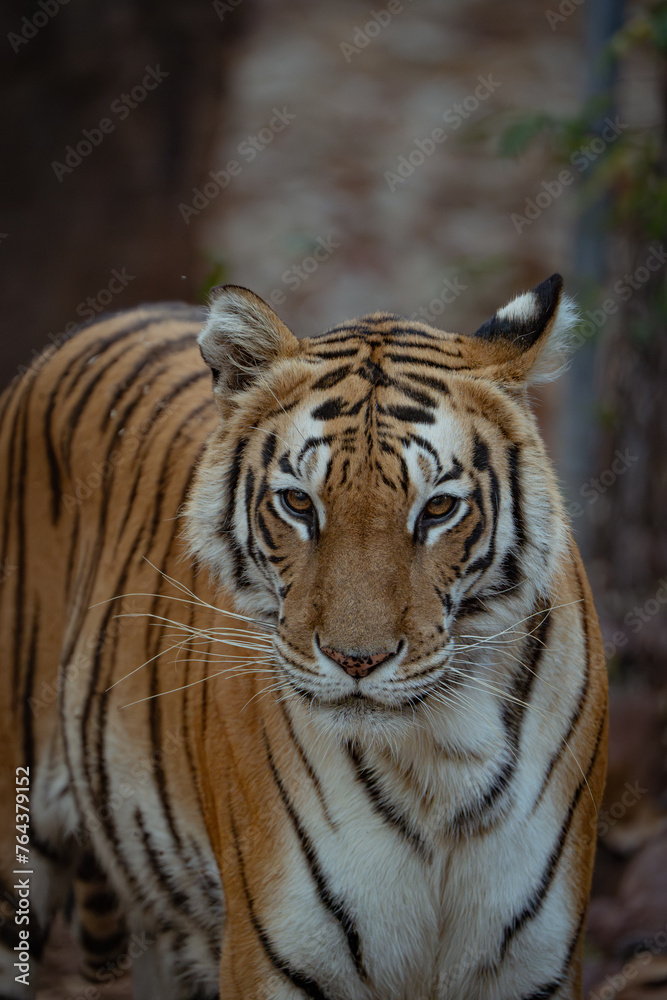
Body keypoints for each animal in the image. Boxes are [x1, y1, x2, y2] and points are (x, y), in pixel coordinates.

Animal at [0, 275, 607, 1000]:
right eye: (297, 503)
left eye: (437, 508)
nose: (357, 660)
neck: (440, 759)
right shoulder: (278, 958)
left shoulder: (532, 966)